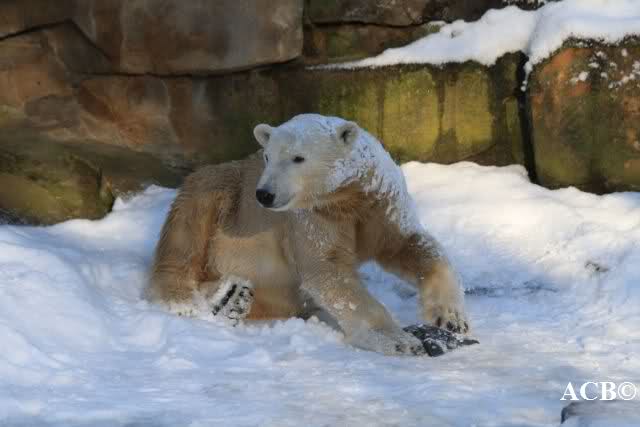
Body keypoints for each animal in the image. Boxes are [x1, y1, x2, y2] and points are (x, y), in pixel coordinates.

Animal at [147, 114, 468, 356]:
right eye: (267, 156)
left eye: (298, 158)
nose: (264, 194)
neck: (348, 196)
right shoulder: (311, 216)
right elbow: (327, 269)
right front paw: (399, 340)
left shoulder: (380, 203)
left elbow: (408, 245)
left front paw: (451, 319)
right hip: (224, 192)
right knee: (186, 233)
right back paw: (205, 299)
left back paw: (232, 300)